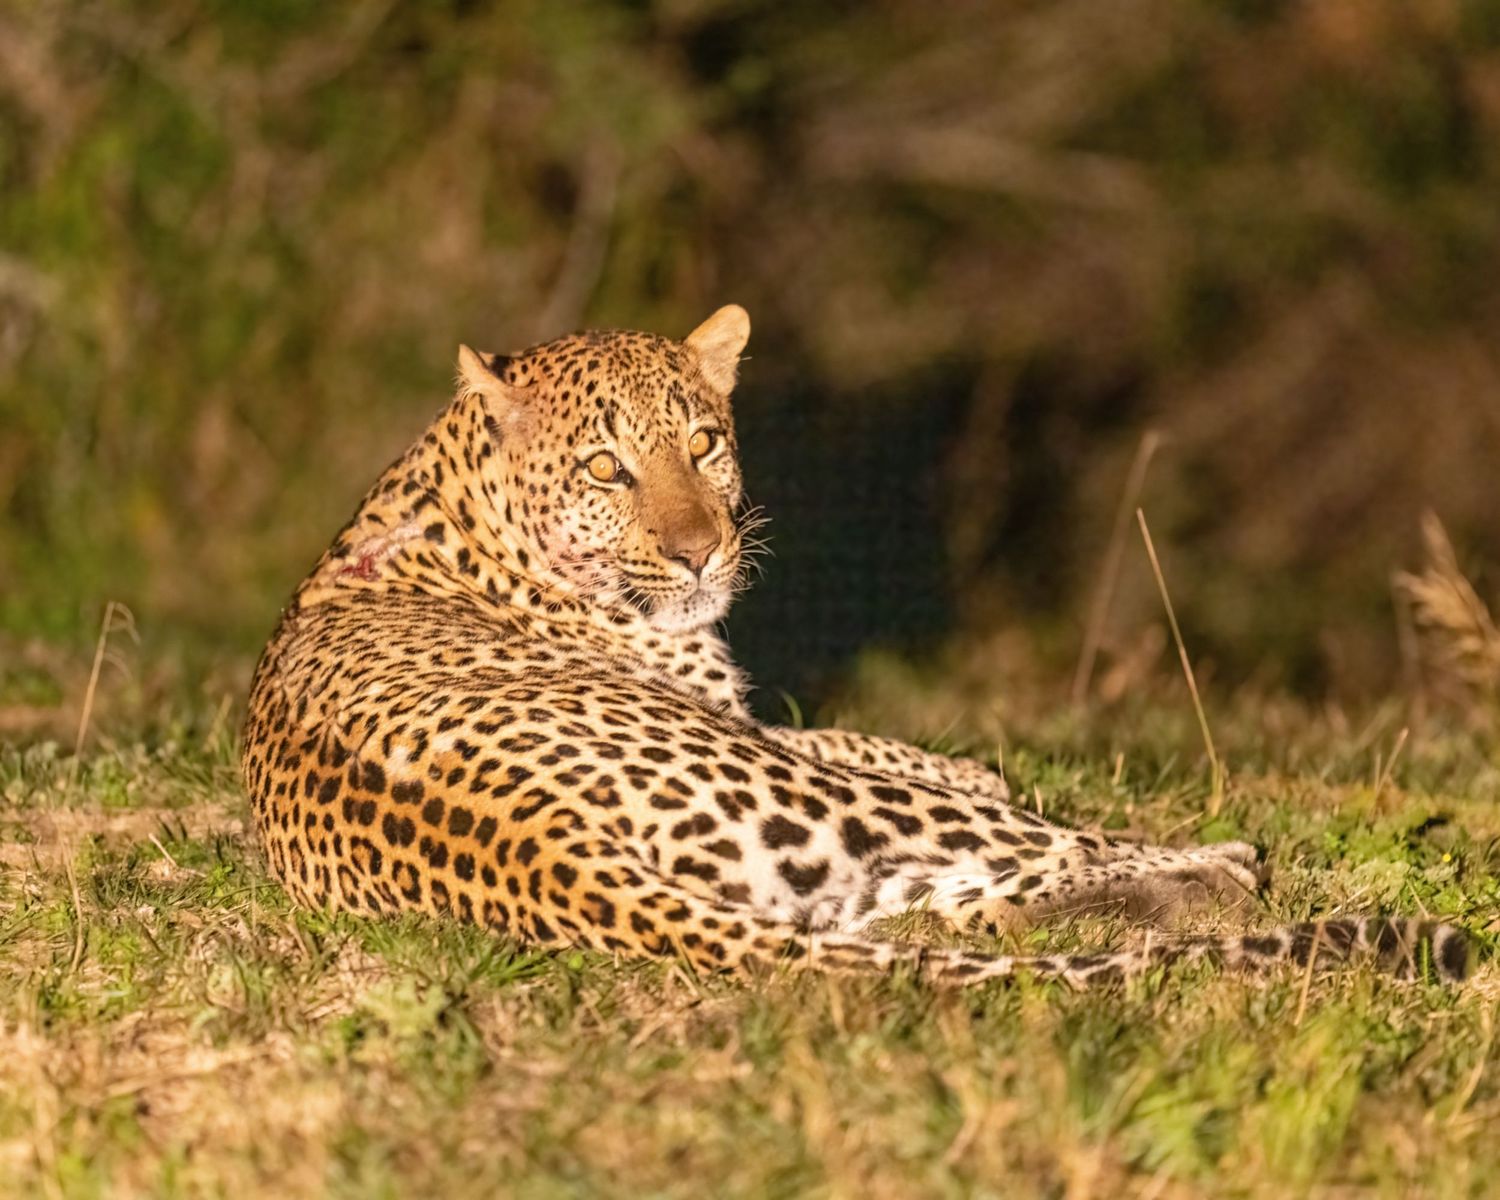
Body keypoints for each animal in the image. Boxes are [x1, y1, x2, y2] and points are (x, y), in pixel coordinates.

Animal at [241, 305, 1469, 987]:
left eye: (704, 443)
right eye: (605, 468)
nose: (700, 553)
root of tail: (537, 849)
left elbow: (861, 733)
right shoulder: (756, 730)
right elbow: (891, 752)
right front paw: (983, 768)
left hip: (799, 872)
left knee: (964, 902)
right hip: (799, 801)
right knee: (1046, 853)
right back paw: (1218, 870)